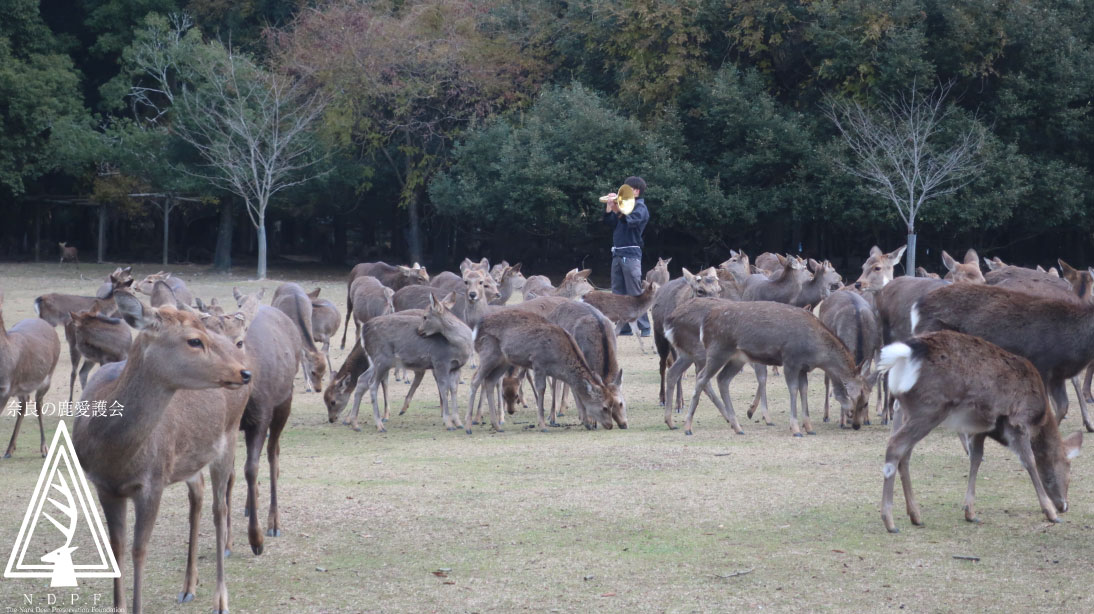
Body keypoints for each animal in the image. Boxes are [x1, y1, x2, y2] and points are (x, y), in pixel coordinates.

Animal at [2, 291, 61, 458]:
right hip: (22, 387)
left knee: (38, 404)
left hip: (48, 376)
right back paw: (9, 449)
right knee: (24, 404)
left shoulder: (5, 390)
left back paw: (44, 449)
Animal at [72, 291, 251, 614]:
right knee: (198, 495)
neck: (114, 454)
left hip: (228, 438)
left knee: (220, 508)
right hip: (189, 460)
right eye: (194, 340)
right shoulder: (104, 486)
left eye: (203, 336)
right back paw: (189, 586)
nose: (244, 373)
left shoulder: (153, 482)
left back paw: (220, 599)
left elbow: (139, 550)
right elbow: (116, 546)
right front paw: (118, 606)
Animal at [467, 310, 622, 434]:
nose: (610, 425)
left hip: (503, 361)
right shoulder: (538, 363)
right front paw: (543, 425)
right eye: (605, 407)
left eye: (613, 404)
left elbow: (572, 391)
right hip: (488, 353)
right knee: (475, 380)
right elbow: (542, 389)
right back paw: (469, 426)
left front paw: (587, 423)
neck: (559, 361)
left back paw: (497, 426)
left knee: (490, 382)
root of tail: (476, 329)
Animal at [686, 300, 869, 436]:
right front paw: (796, 429)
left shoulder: (803, 367)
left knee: (722, 379)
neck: (816, 353)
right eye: (860, 397)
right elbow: (793, 390)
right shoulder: (790, 360)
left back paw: (737, 427)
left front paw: (809, 428)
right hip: (718, 349)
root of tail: (705, 322)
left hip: (737, 358)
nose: (856, 424)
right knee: (701, 378)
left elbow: (804, 389)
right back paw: (688, 427)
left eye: (865, 400)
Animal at [875, 330, 1083, 533]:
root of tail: (904, 355)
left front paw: (970, 512)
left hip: (903, 409)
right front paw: (1050, 513)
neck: (1039, 419)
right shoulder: (1018, 422)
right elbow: (1029, 461)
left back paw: (915, 515)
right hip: (929, 409)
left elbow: (975, 459)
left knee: (905, 455)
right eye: (1068, 468)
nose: (1064, 506)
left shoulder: (979, 429)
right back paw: (889, 521)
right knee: (895, 446)